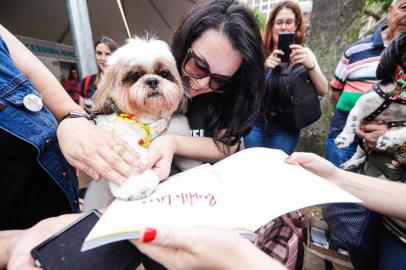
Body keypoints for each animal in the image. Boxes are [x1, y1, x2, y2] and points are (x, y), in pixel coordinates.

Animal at [83, 35, 201, 211]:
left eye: (163, 73)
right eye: (134, 76)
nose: (152, 81)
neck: (150, 122)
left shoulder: (177, 135)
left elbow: (188, 159)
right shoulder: (124, 142)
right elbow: (135, 161)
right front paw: (138, 184)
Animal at [334, 32, 406, 170]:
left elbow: (403, 132)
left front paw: (388, 139)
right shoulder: (364, 103)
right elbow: (352, 121)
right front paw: (344, 138)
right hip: (363, 144)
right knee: (359, 153)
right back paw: (349, 164)